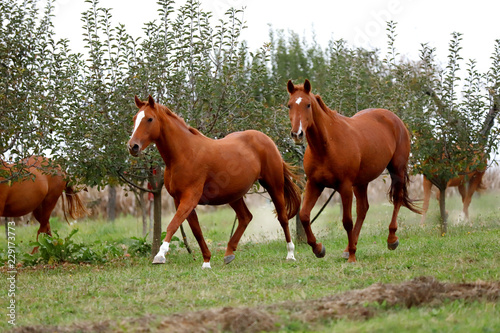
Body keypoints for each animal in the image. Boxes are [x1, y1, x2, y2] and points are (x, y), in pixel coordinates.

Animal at [128, 94, 300, 268]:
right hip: (234, 195)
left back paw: (291, 254)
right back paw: (229, 254)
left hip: (274, 186)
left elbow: (173, 224)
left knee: (283, 218)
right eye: (135, 118)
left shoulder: (190, 198)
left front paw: (160, 255)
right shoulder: (179, 200)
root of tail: (266, 139)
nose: (132, 146)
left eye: (149, 119)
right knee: (245, 217)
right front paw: (206, 261)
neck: (184, 153)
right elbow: (196, 231)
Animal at [286, 78, 422, 262]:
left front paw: (352, 256)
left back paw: (391, 239)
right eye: (289, 105)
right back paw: (350, 247)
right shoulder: (314, 184)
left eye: (307, 105)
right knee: (363, 209)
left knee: (397, 199)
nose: (297, 134)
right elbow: (305, 216)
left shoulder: (344, 187)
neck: (327, 145)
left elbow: (347, 221)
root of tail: (394, 118)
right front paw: (318, 248)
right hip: (361, 182)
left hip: (397, 171)